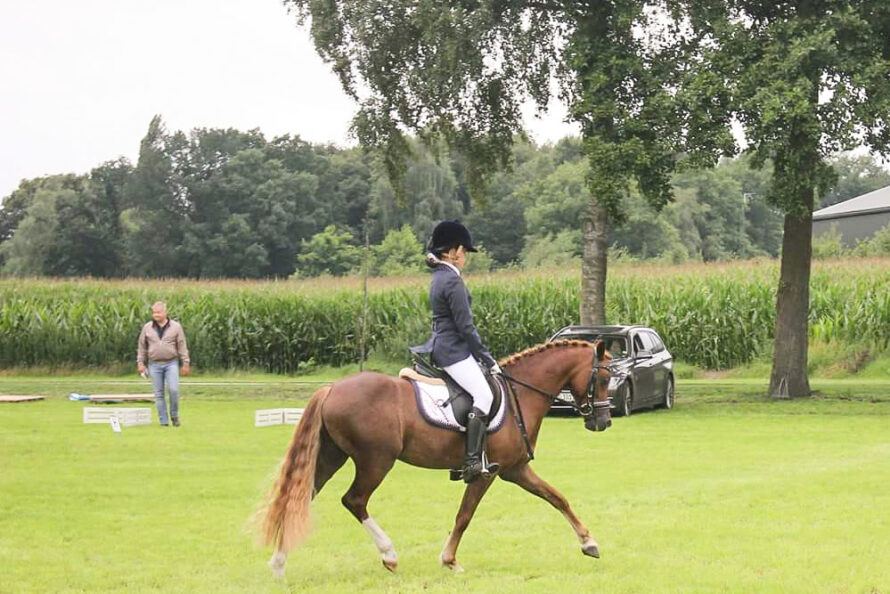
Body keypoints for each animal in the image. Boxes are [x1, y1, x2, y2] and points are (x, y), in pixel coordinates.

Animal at [260, 340, 612, 576]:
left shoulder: (516, 469)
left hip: (332, 456)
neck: (519, 395)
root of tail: (332, 389)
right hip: (375, 461)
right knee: (354, 500)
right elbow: (464, 516)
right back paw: (389, 555)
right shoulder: (487, 473)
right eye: (605, 378)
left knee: (300, 497)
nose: (603, 422)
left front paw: (589, 543)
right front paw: (450, 560)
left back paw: (278, 563)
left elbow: (557, 497)